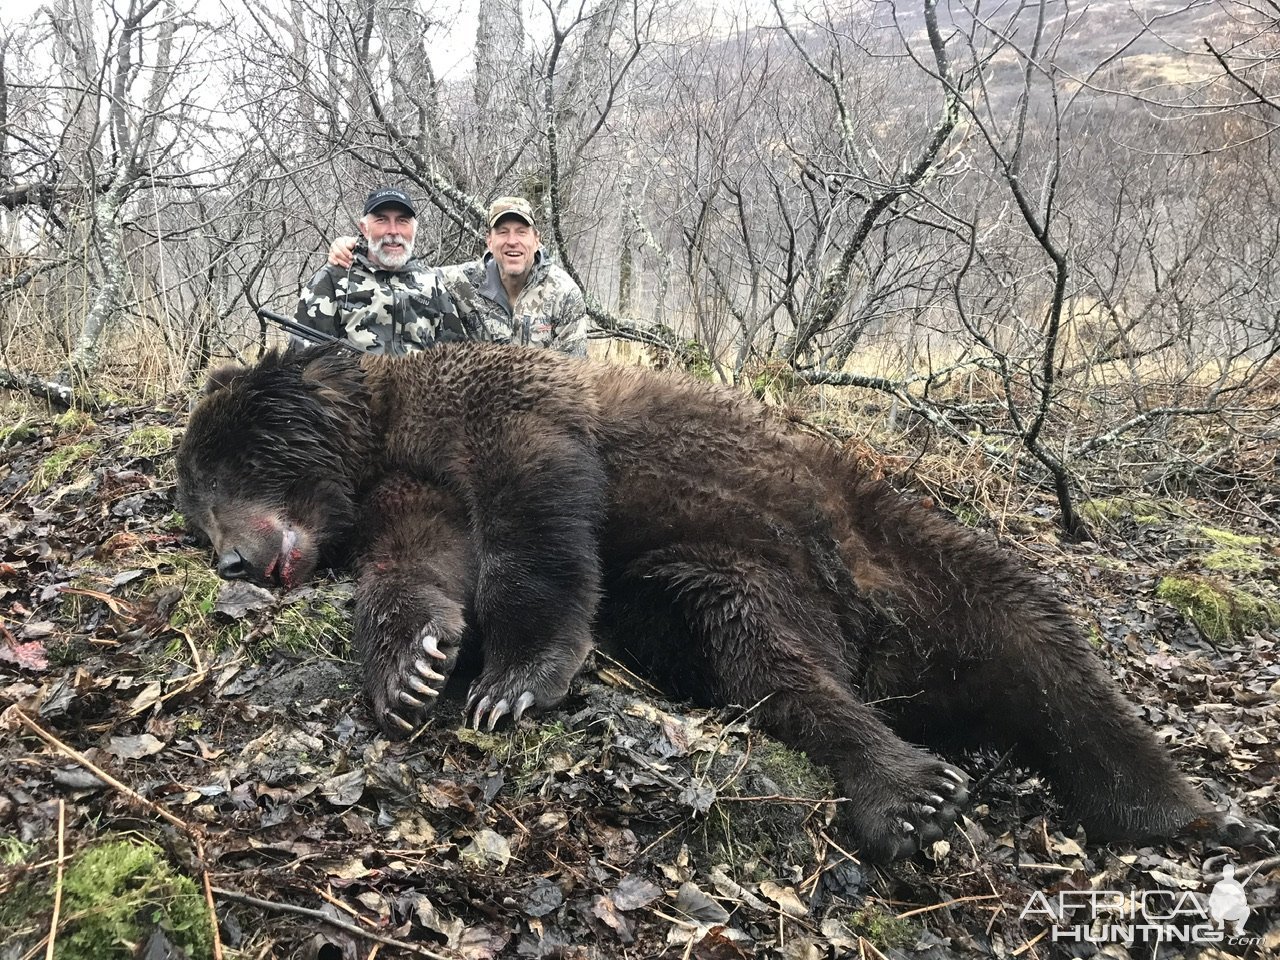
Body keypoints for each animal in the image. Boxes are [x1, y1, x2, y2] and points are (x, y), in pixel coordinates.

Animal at [177, 343, 1259, 865]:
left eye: (222, 467)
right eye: (194, 501)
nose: (234, 557)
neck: (388, 430)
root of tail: (877, 643)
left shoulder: (496, 406)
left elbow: (538, 516)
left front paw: (515, 678)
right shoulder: (409, 494)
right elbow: (420, 568)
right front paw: (413, 667)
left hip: (905, 545)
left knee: (1043, 646)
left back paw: (1184, 812)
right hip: (736, 577)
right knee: (759, 650)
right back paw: (912, 790)